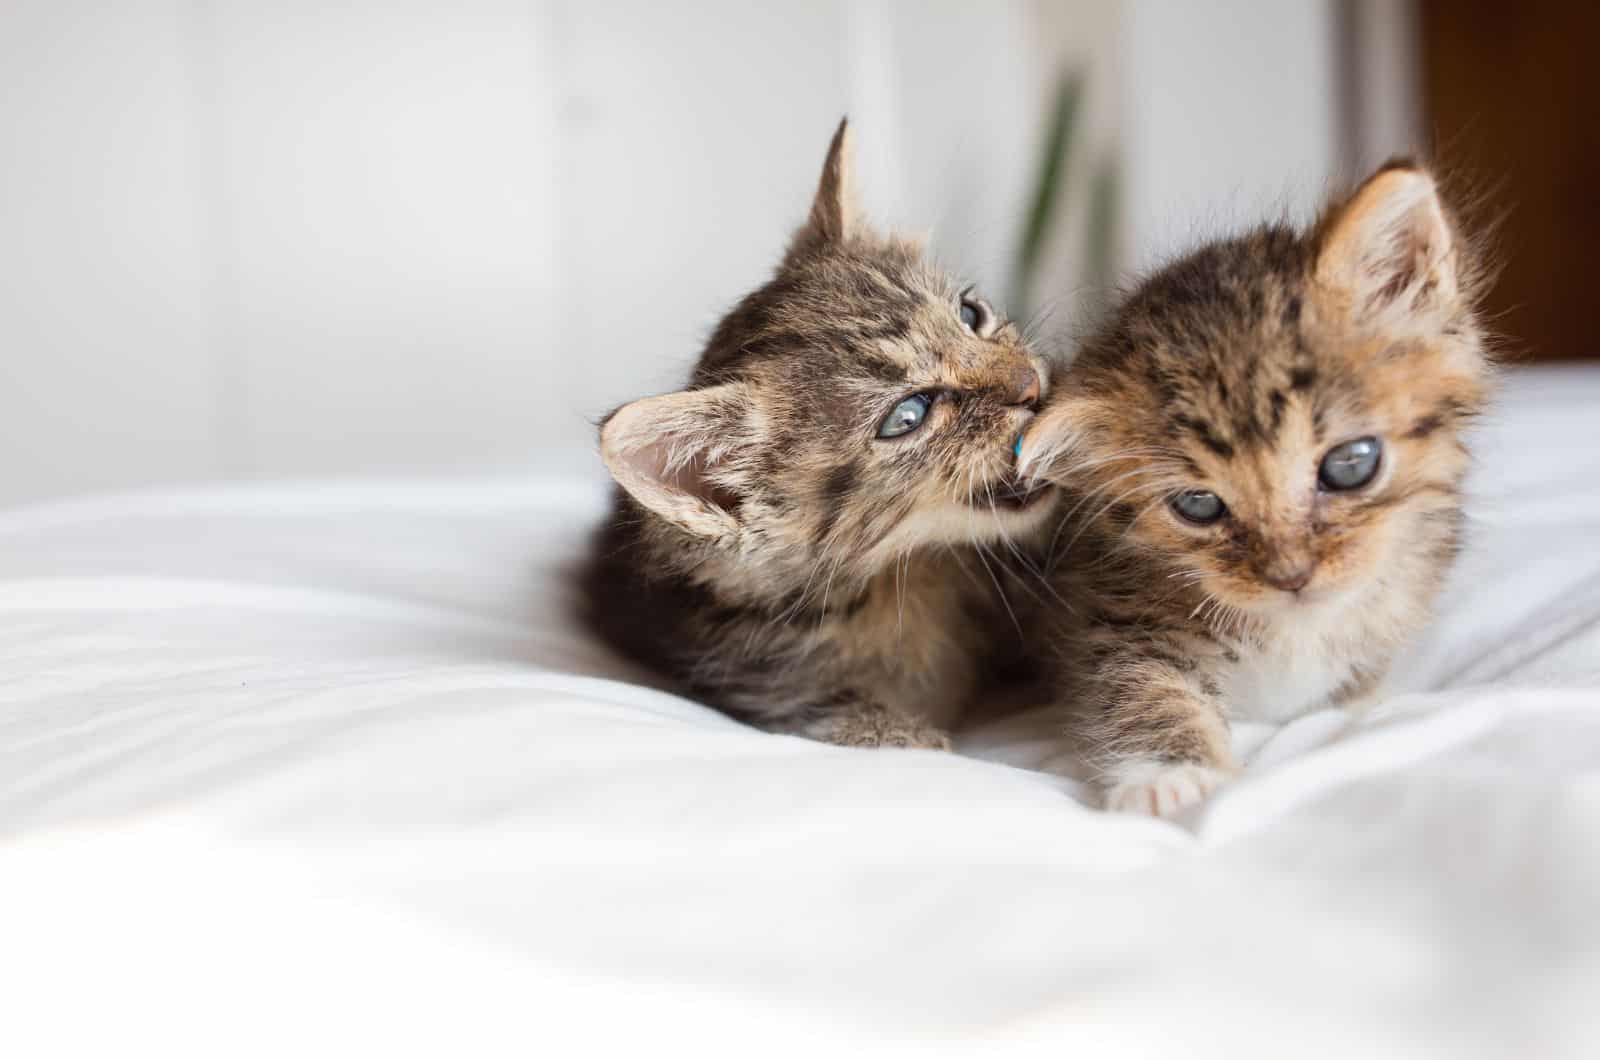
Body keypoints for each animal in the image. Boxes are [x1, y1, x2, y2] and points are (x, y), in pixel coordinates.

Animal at [582, 120, 1056, 752]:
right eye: (908, 415)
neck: (923, 579)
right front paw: (901, 731)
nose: (1032, 384)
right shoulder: (744, 672)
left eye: (970, 313)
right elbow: (831, 711)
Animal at [1017, 161, 1491, 816]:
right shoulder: (1108, 612)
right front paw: (1172, 780)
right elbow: (1139, 687)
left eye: (1351, 464)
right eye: (1198, 505)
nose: (1291, 576)